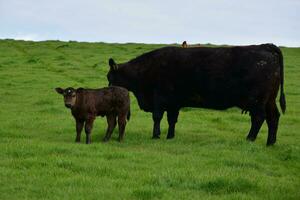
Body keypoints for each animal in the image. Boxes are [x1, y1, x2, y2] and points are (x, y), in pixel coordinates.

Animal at [106, 44, 286, 145]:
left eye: (110, 78)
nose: (108, 92)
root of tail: (266, 46)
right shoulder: (174, 103)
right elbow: (172, 120)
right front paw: (170, 136)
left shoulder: (159, 99)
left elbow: (157, 117)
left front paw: (156, 135)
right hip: (269, 100)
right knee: (273, 117)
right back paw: (270, 142)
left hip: (257, 101)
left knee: (259, 118)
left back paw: (250, 139)